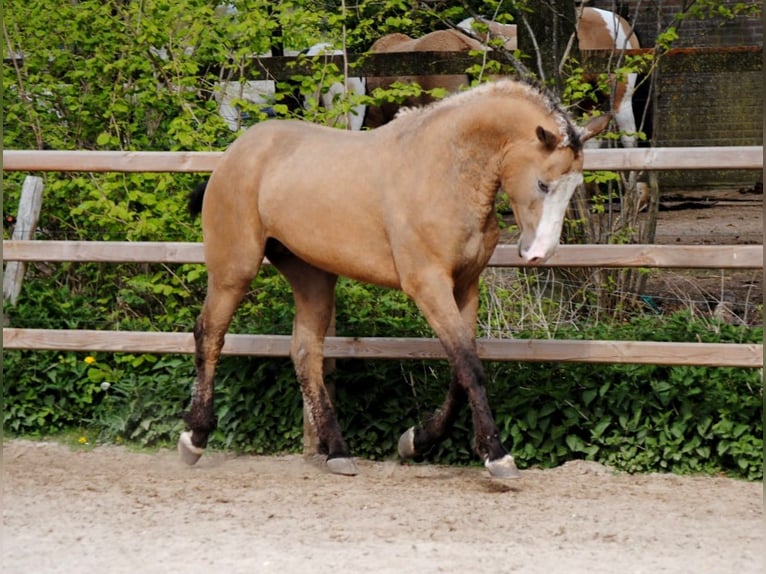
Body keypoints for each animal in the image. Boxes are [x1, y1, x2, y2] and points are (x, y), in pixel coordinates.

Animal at [179, 79, 608, 479]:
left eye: (574, 186)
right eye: (543, 183)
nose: (540, 253)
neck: (443, 171)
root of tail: (235, 154)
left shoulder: (465, 286)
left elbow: (460, 368)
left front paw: (415, 440)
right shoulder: (428, 285)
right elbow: (470, 367)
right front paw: (496, 455)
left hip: (312, 278)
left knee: (305, 353)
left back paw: (337, 452)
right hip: (234, 269)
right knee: (210, 335)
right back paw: (194, 438)